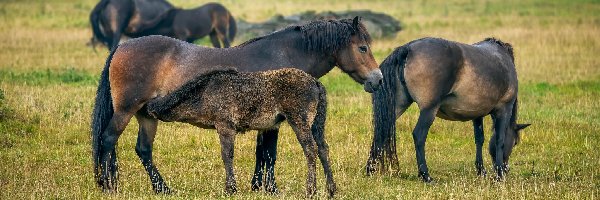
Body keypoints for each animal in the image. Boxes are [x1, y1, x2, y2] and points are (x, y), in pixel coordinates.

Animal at [144, 68, 336, 197]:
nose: (148, 107)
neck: (204, 93)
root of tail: (316, 83)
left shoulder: (225, 126)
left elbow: (227, 155)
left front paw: (230, 188)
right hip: (317, 123)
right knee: (323, 148)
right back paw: (331, 189)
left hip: (299, 119)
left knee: (311, 149)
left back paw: (311, 190)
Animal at [366, 38, 528, 183]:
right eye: (515, 143)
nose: (507, 168)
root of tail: (408, 48)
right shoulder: (504, 109)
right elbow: (500, 140)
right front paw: (499, 175)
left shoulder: (477, 114)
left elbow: (479, 139)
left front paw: (481, 170)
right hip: (429, 110)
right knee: (419, 135)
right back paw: (426, 176)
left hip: (397, 106)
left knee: (381, 131)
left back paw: (370, 169)